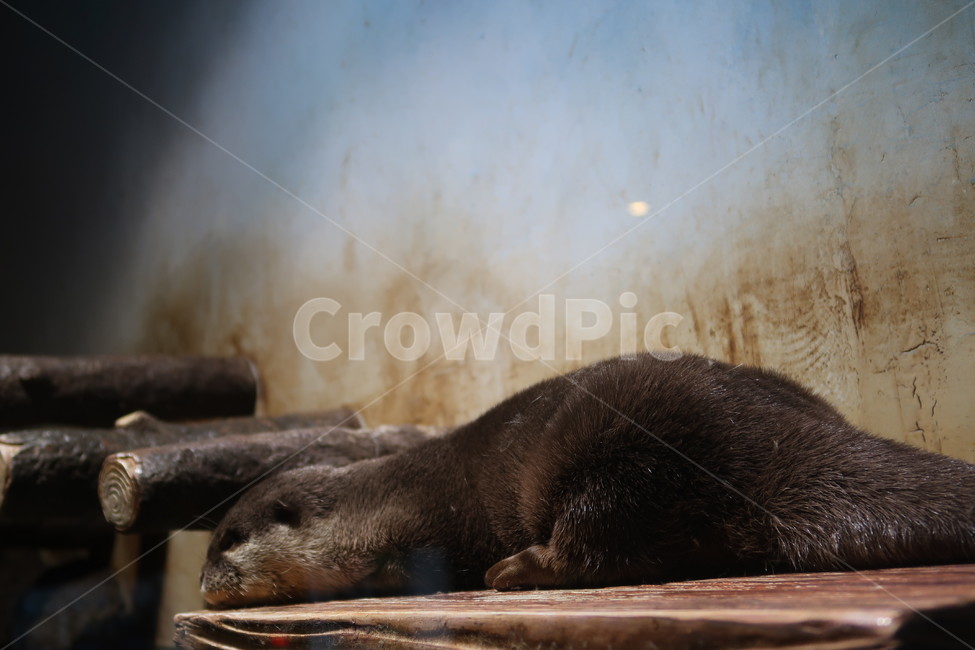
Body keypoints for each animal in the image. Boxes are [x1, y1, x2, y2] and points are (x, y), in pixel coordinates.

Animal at [201, 353, 975, 608]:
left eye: (227, 539)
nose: (204, 584)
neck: (378, 504)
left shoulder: (420, 530)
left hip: (612, 452)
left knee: (598, 541)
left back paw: (511, 570)